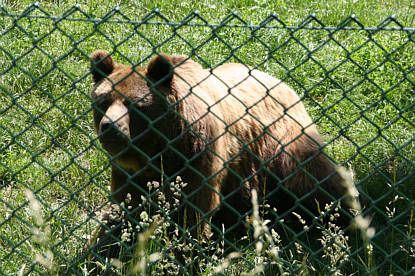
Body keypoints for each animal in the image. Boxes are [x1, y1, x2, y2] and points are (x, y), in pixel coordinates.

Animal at [89, 50, 356, 260]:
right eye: (103, 101)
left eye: (135, 105)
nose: (110, 127)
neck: (157, 149)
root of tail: (280, 82)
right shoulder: (130, 171)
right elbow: (125, 207)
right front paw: (106, 246)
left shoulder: (198, 155)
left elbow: (194, 209)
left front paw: (186, 252)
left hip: (283, 142)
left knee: (314, 179)